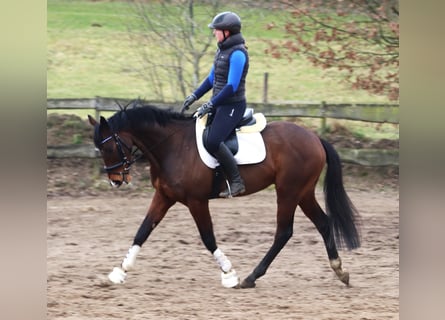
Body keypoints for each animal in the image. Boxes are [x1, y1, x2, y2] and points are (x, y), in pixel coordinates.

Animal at [87, 104, 360, 288]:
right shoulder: (164, 196)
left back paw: (251, 277)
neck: (172, 146)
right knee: (323, 223)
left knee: (284, 232)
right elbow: (142, 231)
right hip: (302, 192)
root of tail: (314, 137)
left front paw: (229, 274)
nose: (116, 181)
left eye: (108, 147)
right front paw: (119, 272)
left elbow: (208, 237)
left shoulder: (196, 201)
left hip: (288, 191)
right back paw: (340, 271)